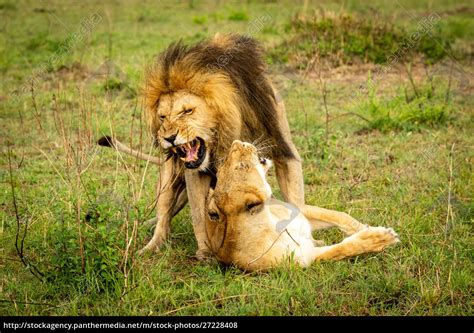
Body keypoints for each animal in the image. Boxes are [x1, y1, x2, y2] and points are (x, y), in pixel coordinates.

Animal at [206, 139, 398, 272]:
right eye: (242, 166)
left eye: (222, 166)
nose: (238, 141)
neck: (271, 223)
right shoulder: (305, 258)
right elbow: (342, 249)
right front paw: (380, 238)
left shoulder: (298, 210)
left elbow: (341, 216)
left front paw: (366, 228)